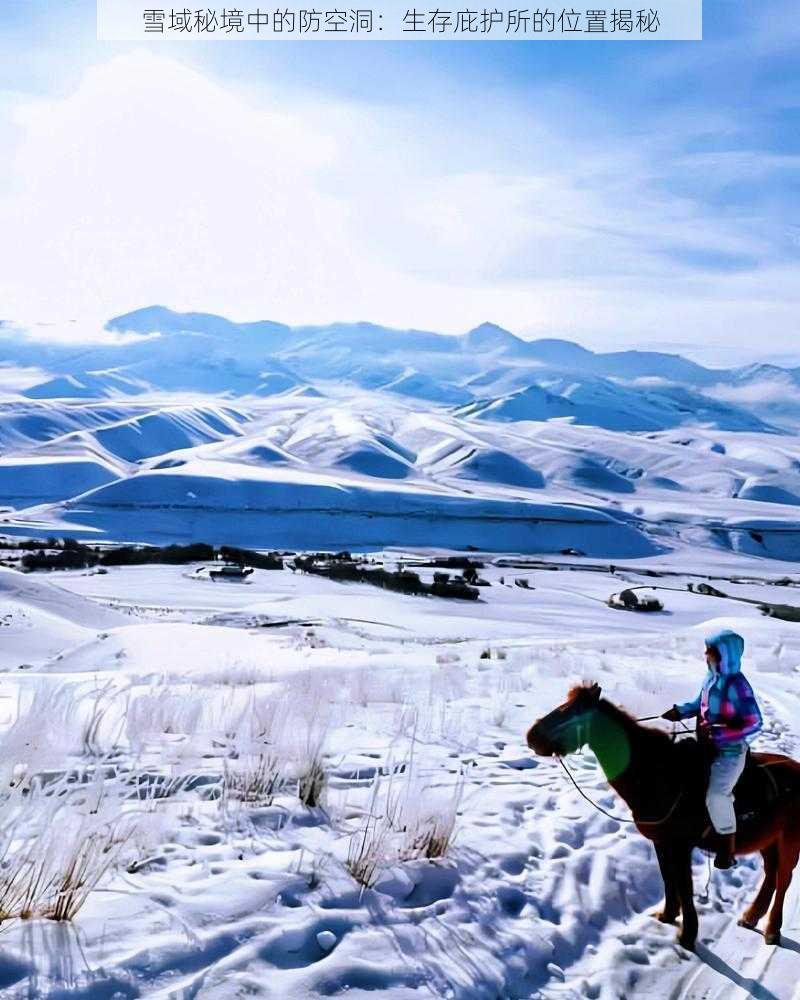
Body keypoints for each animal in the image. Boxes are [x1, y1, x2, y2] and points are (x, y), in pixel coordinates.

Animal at [524, 684, 800, 948]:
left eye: (570, 712)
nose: (531, 736)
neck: (658, 774)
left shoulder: (680, 846)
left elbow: (684, 886)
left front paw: (688, 935)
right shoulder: (661, 842)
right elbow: (668, 879)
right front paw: (668, 915)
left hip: (789, 841)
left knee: (783, 879)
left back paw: (772, 930)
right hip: (768, 839)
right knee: (771, 873)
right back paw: (752, 916)